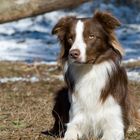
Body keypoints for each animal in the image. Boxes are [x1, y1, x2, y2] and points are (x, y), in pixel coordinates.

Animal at [50, 11, 137, 140]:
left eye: (91, 36)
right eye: (70, 38)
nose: (73, 53)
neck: (89, 73)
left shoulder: (114, 125)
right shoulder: (76, 120)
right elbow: (70, 133)